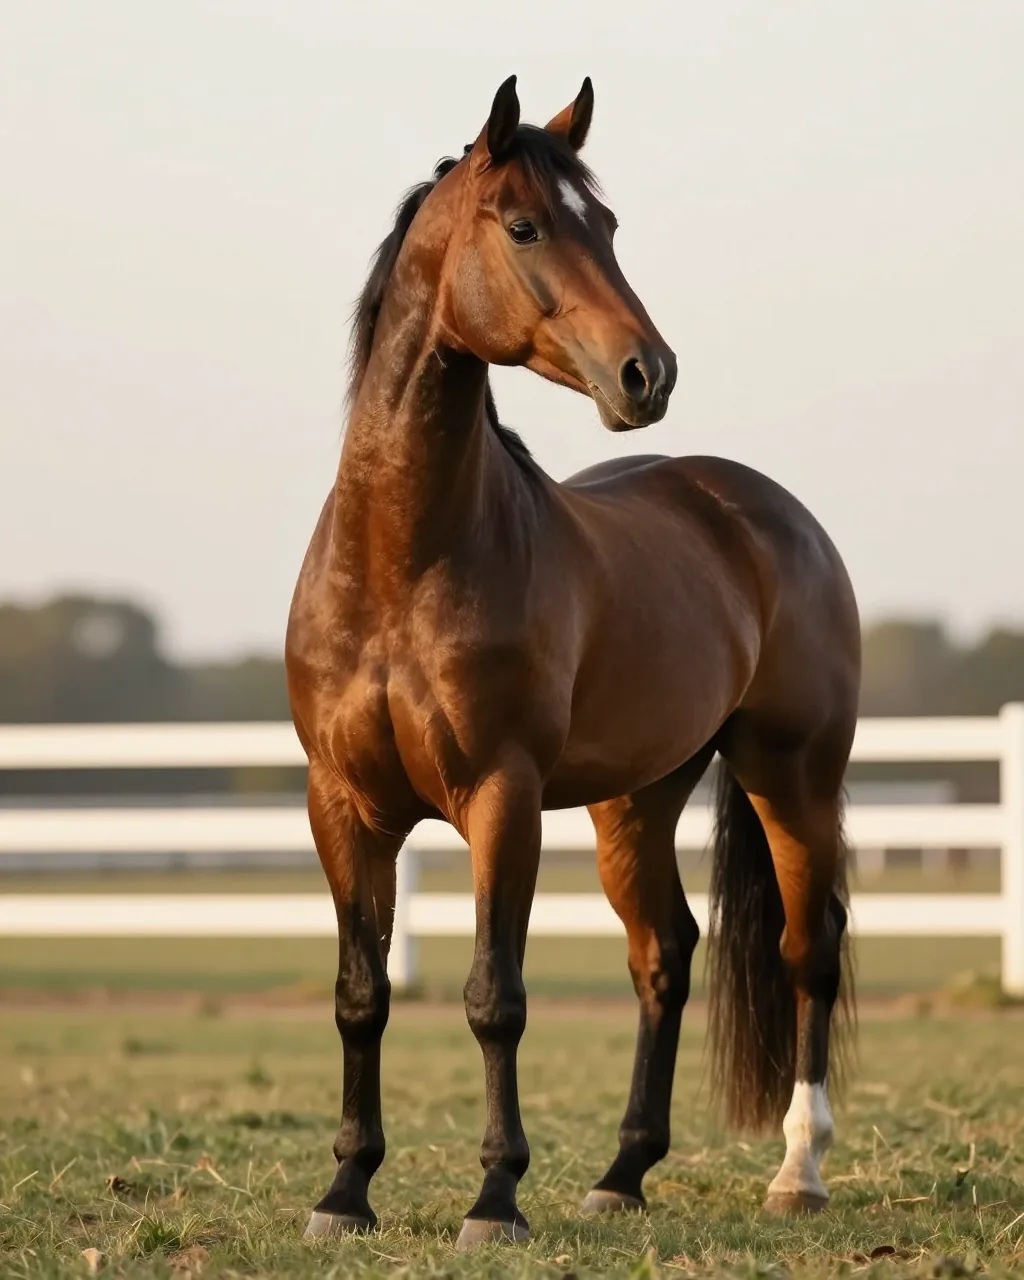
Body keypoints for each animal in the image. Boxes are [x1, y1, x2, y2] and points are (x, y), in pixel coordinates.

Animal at [285, 75, 859, 1249]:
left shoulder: (499, 797)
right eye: (524, 226)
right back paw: (623, 1172)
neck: (401, 559)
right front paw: (345, 1190)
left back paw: (799, 1171)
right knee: (666, 952)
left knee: (806, 949)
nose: (650, 372)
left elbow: (493, 998)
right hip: (635, 798)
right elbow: (361, 994)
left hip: (791, 775)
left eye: (609, 224)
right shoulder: (342, 803)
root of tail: (762, 507)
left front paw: (494, 1198)